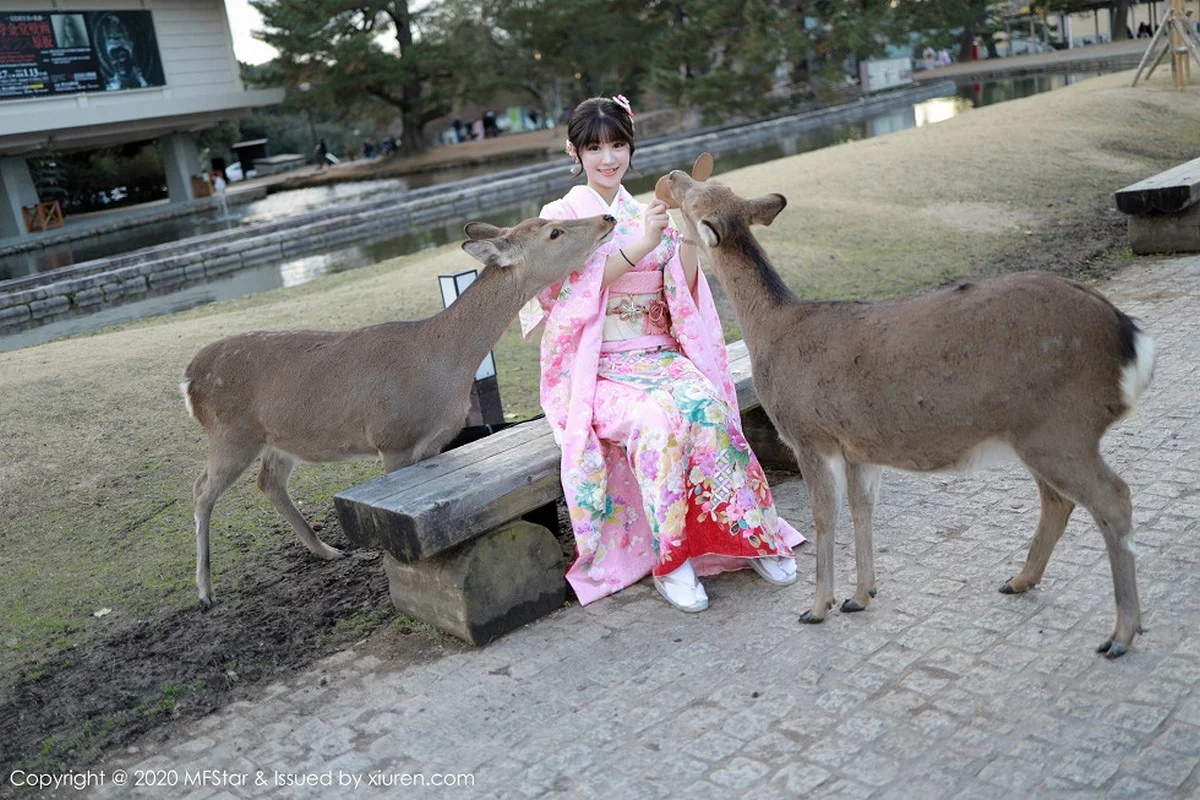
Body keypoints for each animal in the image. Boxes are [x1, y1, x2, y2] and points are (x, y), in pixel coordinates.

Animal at [182, 212, 614, 606]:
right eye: (554, 232)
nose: (607, 218)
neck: (443, 366)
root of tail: (188, 379)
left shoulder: (434, 442)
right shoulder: (393, 438)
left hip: (277, 439)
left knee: (268, 482)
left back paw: (327, 551)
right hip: (231, 432)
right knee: (202, 489)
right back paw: (205, 592)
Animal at [657, 167, 1152, 657]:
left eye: (695, 199)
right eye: (715, 186)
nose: (673, 175)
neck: (770, 328)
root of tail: (1131, 341)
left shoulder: (809, 434)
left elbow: (825, 518)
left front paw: (818, 607)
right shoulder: (858, 445)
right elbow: (863, 509)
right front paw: (860, 595)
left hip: (1061, 425)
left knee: (1114, 497)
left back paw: (1121, 634)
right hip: (1036, 432)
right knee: (1059, 500)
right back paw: (1020, 580)